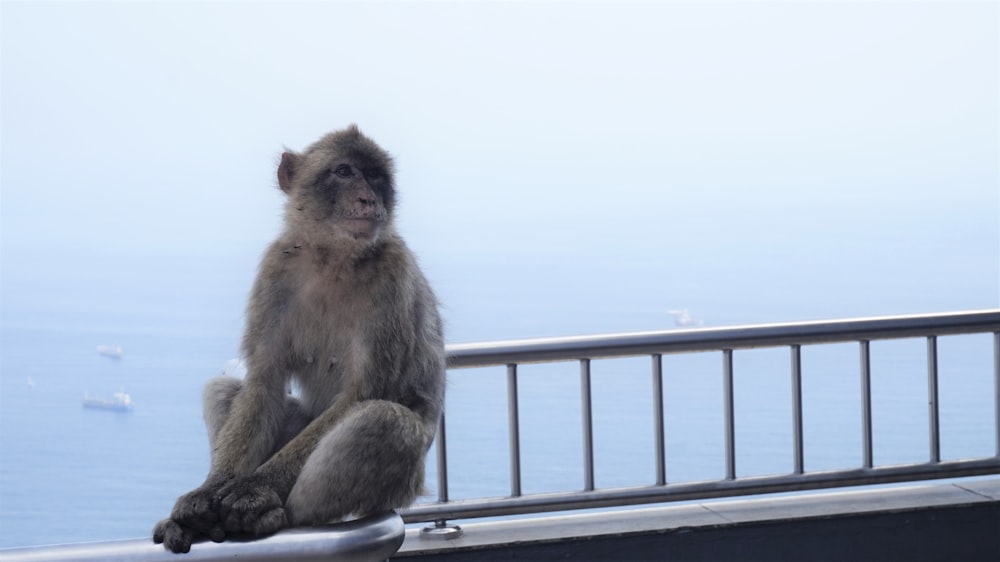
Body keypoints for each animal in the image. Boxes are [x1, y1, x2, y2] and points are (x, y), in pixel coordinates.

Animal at [153, 126, 446, 552]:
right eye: (344, 171)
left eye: (376, 177)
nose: (369, 199)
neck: (334, 258)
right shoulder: (276, 269)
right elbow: (262, 383)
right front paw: (207, 493)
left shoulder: (393, 275)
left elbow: (363, 395)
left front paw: (255, 489)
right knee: (223, 389)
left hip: (403, 485)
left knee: (385, 421)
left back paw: (278, 515)